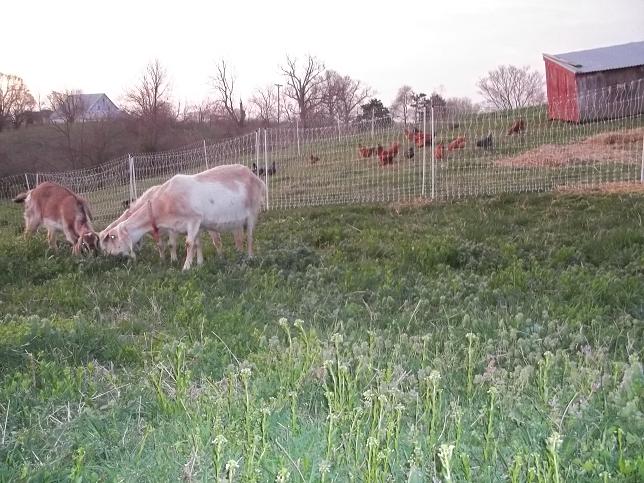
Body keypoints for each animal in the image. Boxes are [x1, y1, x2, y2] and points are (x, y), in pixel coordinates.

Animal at [101, 164, 266, 270]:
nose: (111, 256)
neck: (164, 202)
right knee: (239, 237)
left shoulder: (193, 219)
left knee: (250, 236)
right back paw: (239, 255)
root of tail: (255, 176)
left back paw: (250, 258)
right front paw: (199, 263)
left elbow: (188, 244)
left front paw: (186, 266)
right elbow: (197, 243)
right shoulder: (193, 224)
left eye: (113, 237)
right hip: (237, 221)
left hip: (252, 211)